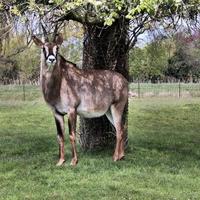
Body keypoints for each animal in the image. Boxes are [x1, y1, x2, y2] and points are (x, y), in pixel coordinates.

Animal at [31, 33, 127, 166]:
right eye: (43, 48)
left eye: (57, 48)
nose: (51, 59)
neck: (59, 83)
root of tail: (124, 81)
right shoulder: (57, 113)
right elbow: (60, 136)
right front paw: (60, 161)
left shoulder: (72, 110)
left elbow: (72, 135)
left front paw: (74, 161)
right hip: (108, 111)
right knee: (122, 129)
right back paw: (121, 155)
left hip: (117, 107)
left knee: (118, 130)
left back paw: (115, 157)